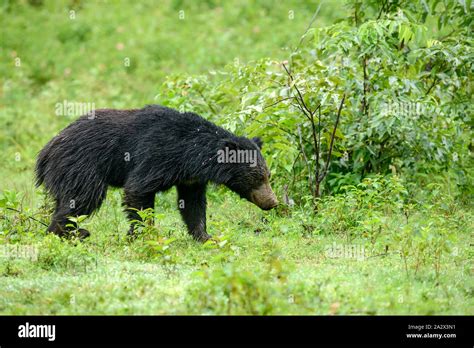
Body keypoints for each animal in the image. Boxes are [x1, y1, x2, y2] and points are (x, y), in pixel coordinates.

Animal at [36, 105, 278, 242]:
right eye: (257, 177)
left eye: (268, 175)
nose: (272, 202)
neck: (192, 157)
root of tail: (46, 151)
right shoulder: (158, 156)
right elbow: (138, 190)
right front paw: (145, 234)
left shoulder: (191, 179)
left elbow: (193, 205)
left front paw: (206, 236)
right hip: (81, 167)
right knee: (81, 200)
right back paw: (69, 233)